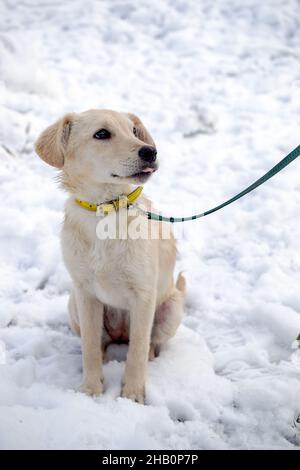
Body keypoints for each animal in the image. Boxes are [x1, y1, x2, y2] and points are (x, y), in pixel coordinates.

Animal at [35, 108, 185, 402]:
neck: (105, 211)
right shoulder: (85, 294)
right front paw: (91, 391)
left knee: (149, 345)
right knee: (100, 343)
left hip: (171, 309)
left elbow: (137, 350)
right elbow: (90, 348)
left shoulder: (143, 296)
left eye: (134, 131)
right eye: (102, 134)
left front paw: (132, 395)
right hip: (73, 305)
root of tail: (119, 334)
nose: (151, 151)